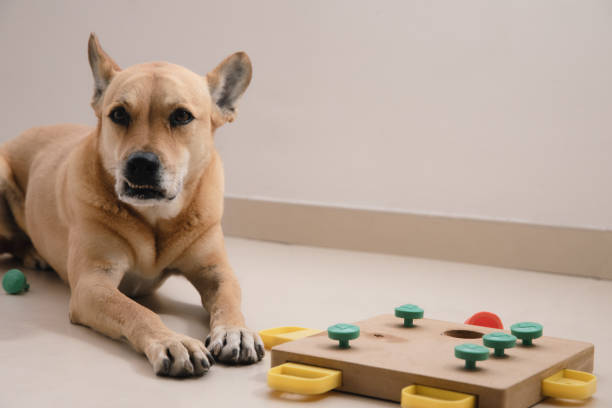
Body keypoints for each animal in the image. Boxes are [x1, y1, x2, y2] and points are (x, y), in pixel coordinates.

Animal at [0, 34, 264, 376]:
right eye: (119, 114)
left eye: (182, 116)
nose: (141, 164)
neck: (154, 218)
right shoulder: (92, 284)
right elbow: (137, 311)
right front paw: (171, 340)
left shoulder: (215, 271)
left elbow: (228, 299)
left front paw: (235, 331)